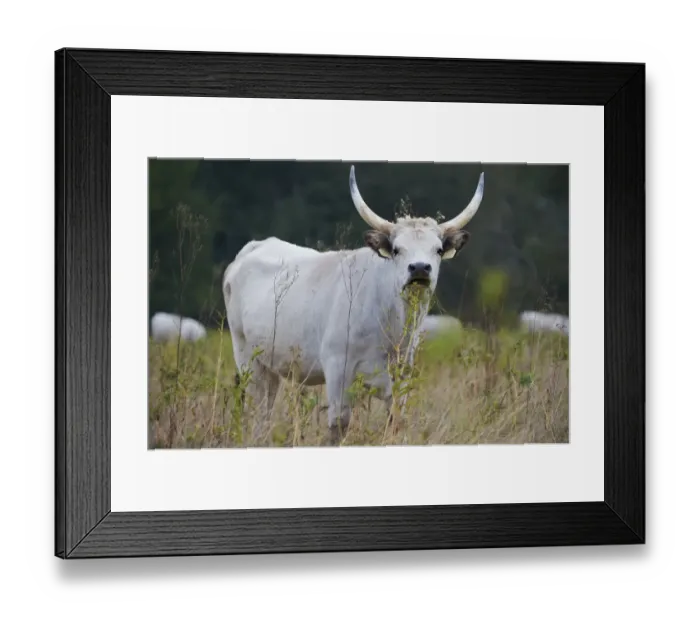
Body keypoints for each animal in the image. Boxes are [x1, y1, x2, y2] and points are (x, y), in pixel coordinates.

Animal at [222, 165, 485, 444]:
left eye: (437, 250)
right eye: (396, 249)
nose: (419, 269)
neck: (392, 324)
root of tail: (256, 246)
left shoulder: (401, 376)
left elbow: (396, 423)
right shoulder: (338, 368)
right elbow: (338, 425)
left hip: (270, 364)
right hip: (247, 358)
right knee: (257, 410)